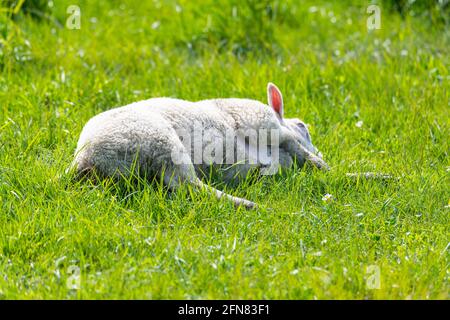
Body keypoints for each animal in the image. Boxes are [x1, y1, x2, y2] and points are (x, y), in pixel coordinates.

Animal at [71, 81, 330, 209]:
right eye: (303, 126)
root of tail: (84, 161)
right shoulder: (264, 122)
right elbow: (296, 146)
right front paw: (328, 167)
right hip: (163, 145)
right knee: (190, 186)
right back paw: (250, 205)